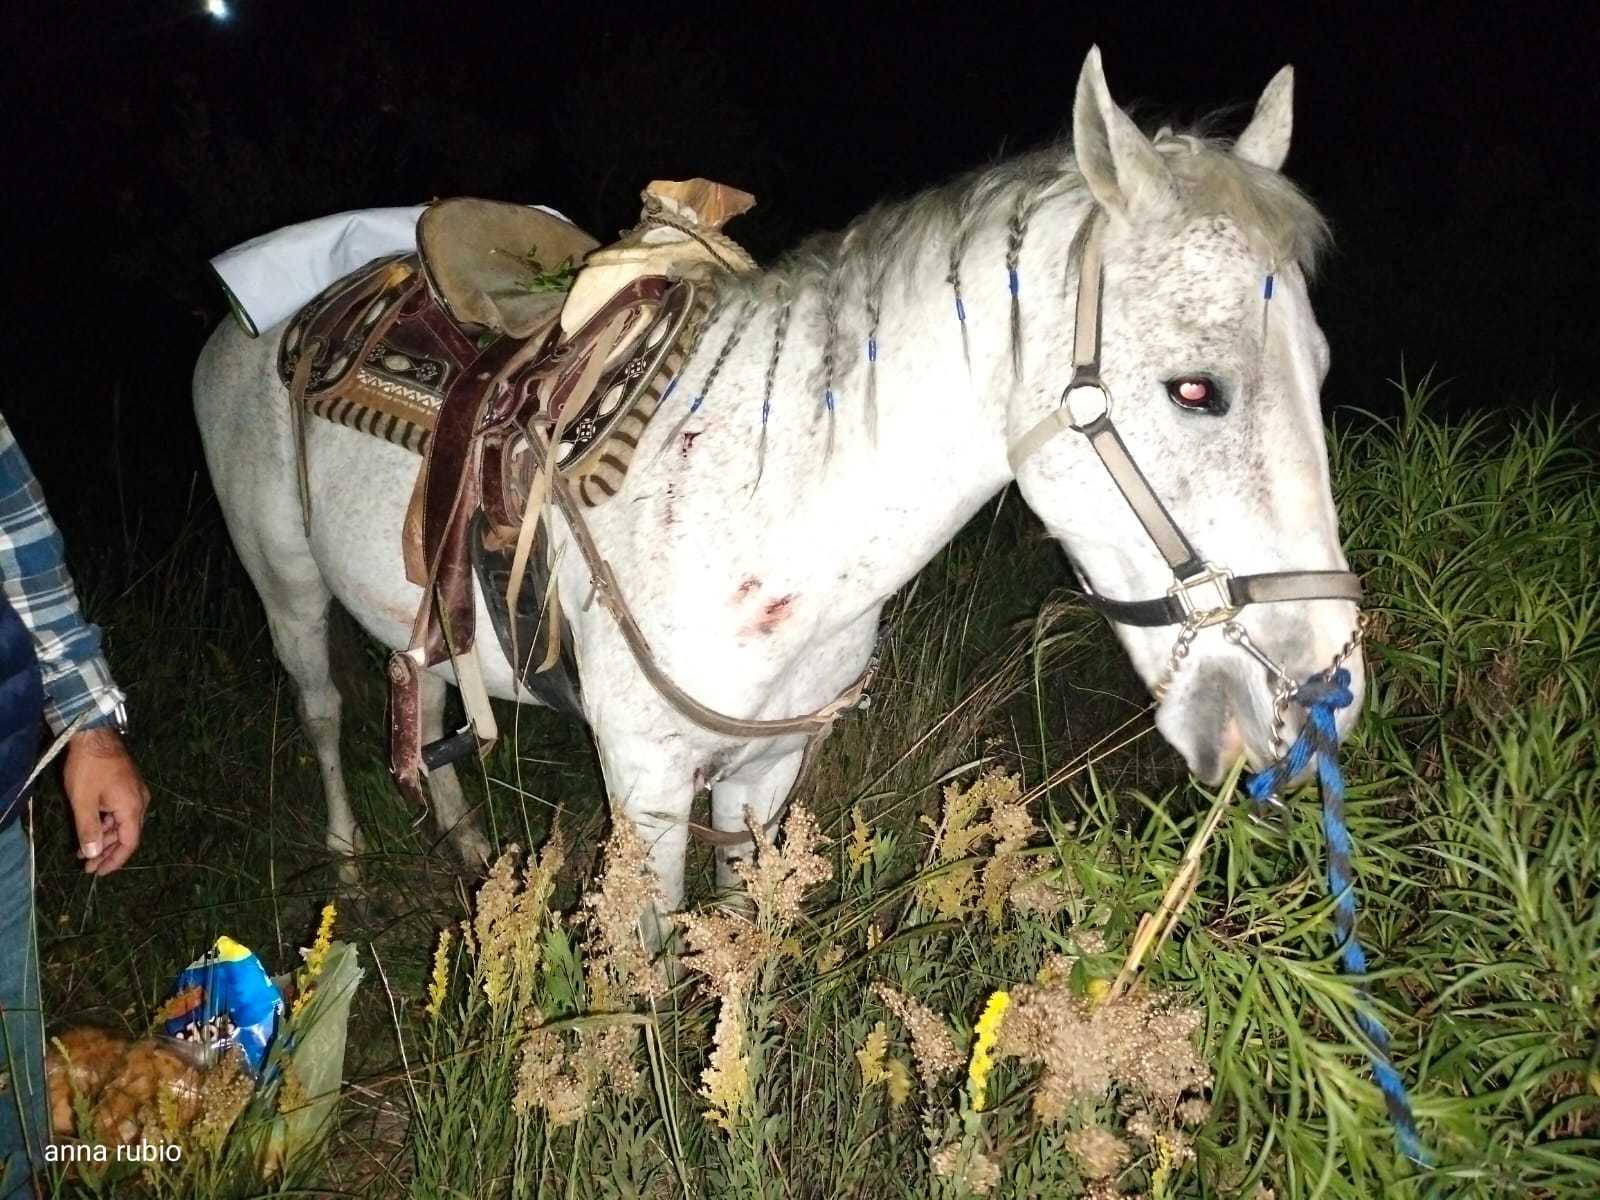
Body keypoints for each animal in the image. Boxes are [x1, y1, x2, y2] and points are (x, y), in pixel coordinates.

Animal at [187, 49, 1363, 947]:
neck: (770, 512)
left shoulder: (766, 770)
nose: (1320, 701)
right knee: (323, 709)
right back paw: (346, 861)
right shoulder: (647, 788)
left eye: (1318, 368)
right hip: (285, 587)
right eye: (1195, 390)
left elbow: (742, 948)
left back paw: (468, 845)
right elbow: (648, 982)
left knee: (423, 695)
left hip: (416, 605)